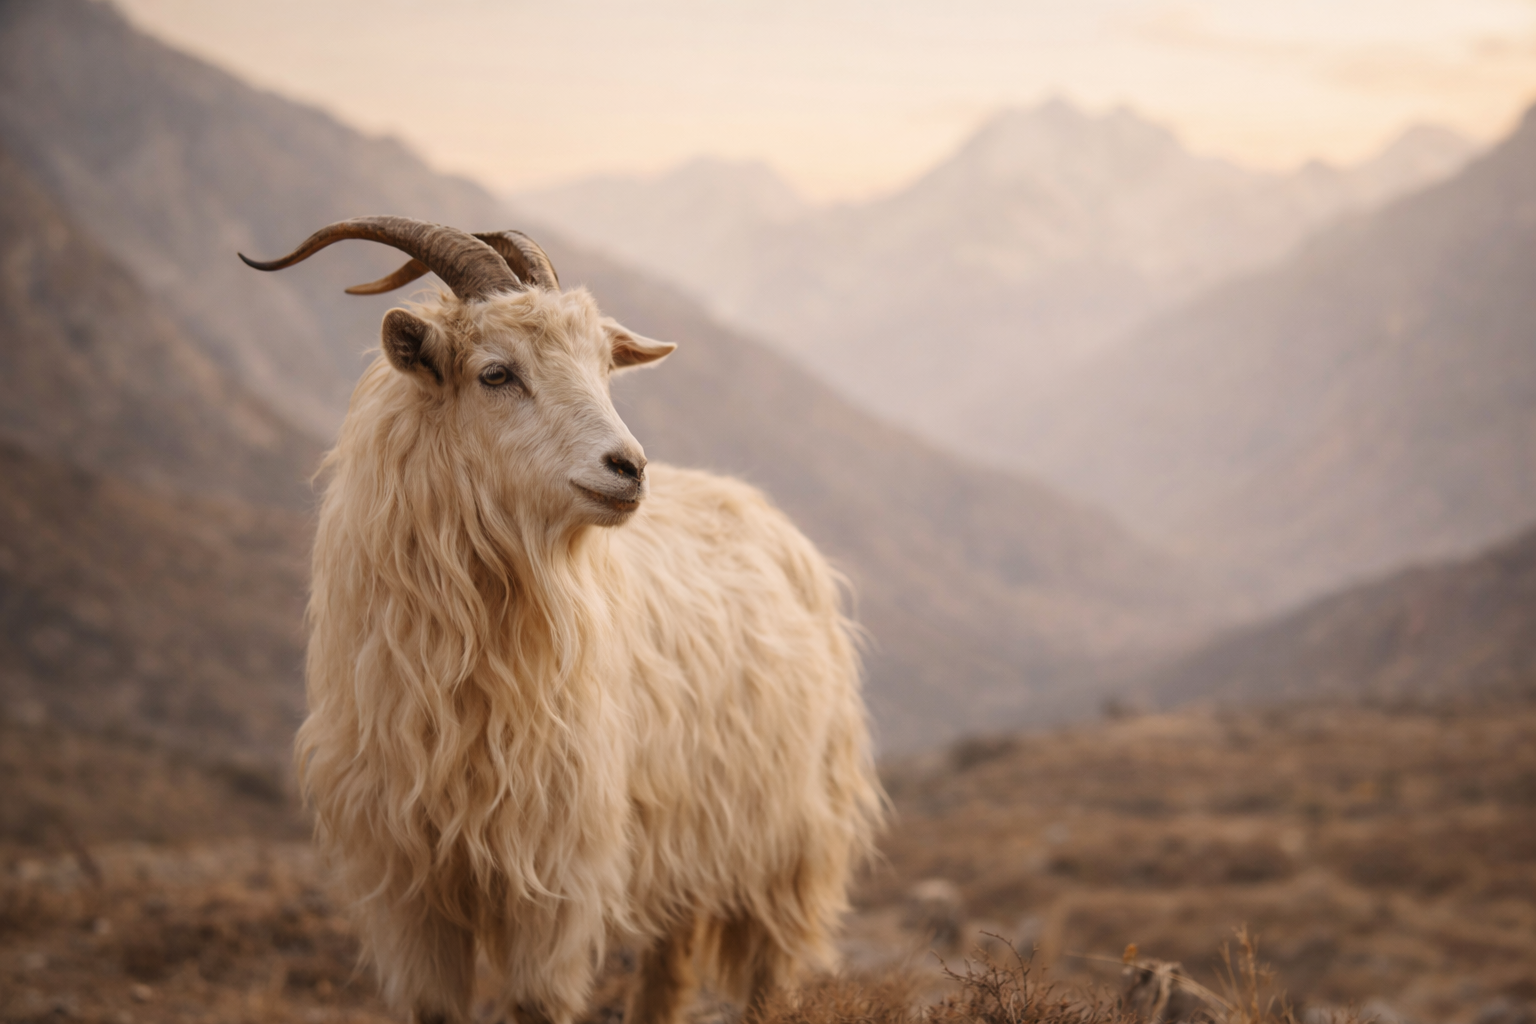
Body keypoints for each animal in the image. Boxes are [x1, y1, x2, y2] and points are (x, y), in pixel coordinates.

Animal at [241, 218, 883, 1024]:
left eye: (604, 368)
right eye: (495, 374)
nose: (629, 468)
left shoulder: (557, 874)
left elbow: (535, 1003)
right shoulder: (410, 886)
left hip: (788, 849)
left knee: (768, 979)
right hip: (687, 855)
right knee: (666, 976)